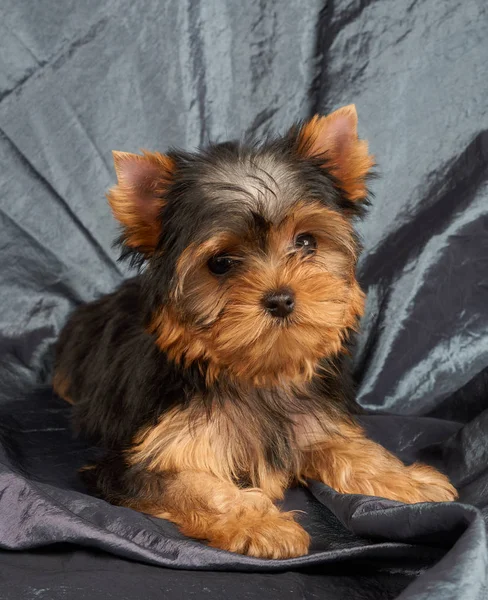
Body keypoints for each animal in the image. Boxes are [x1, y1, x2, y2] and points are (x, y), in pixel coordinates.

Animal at [54, 105, 458, 560]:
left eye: (306, 242)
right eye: (221, 263)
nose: (281, 299)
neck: (257, 373)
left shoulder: (315, 425)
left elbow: (355, 449)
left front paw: (407, 482)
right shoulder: (138, 459)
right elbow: (193, 485)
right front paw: (260, 524)